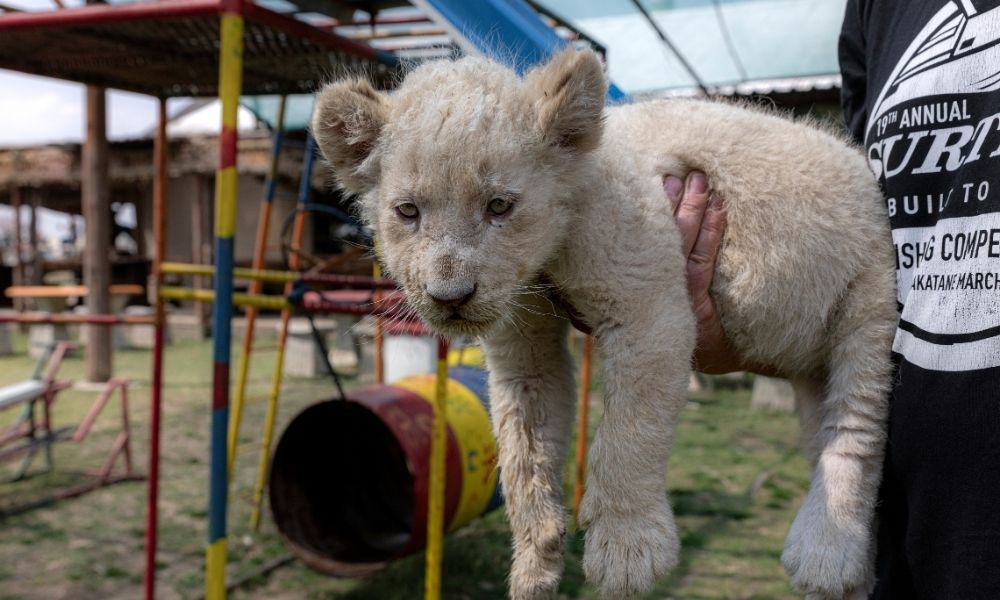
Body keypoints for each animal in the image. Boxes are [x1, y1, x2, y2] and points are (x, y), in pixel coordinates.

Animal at [311, 48, 897, 600]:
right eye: (408, 212)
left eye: (500, 205)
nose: (450, 298)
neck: (550, 252)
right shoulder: (524, 347)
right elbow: (523, 452)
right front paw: (535, 567)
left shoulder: (650, 310)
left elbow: (628, 436)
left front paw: (627, 555)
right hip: (811, 369)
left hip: (870, 303)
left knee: (857, 427)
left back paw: (824, 553)